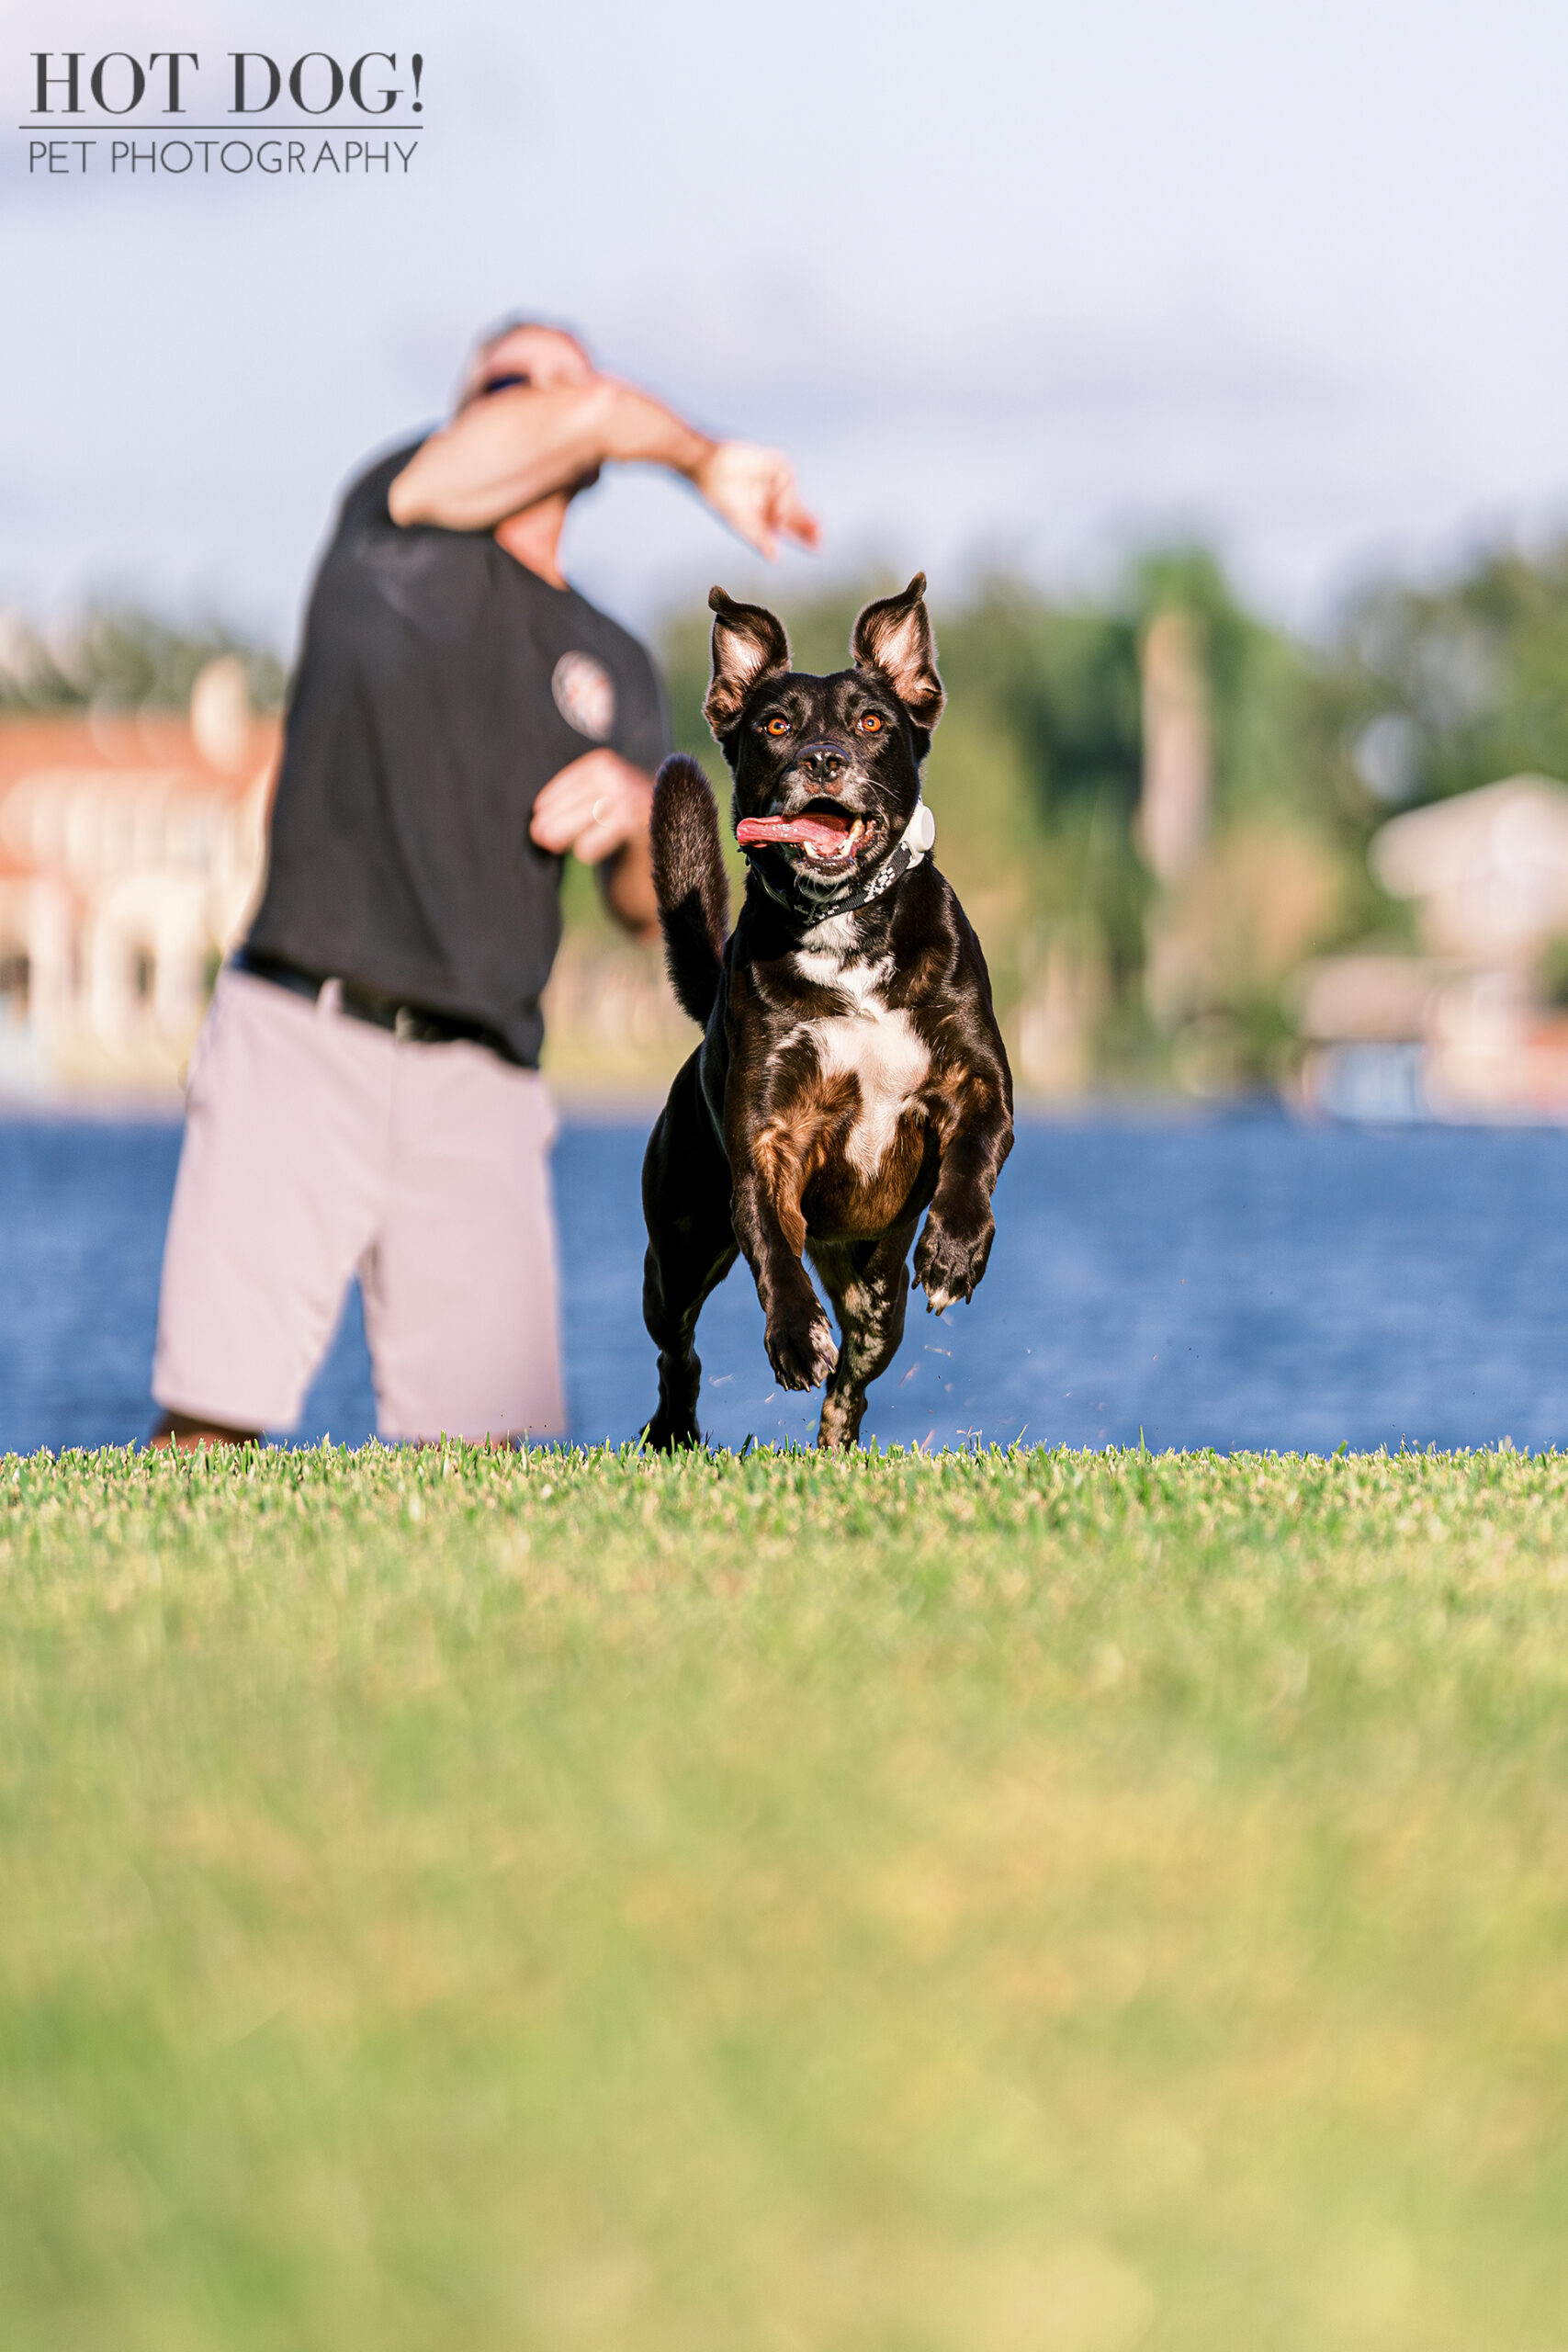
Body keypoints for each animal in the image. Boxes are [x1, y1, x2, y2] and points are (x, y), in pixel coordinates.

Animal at [639, 576, 1020, 1439]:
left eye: (872, 722)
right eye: (775, 725)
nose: (822, 758)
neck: (846, 937)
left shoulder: (977, 1084)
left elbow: (975, 1152)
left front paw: (954, 1249)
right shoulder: (767, 1139)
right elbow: (773, 1252)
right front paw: (791, 1335)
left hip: (876, 1294)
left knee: (858, 1376)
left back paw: (836, 1440)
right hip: (677, 1251)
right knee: (678, 1350)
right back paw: (674, 1429)